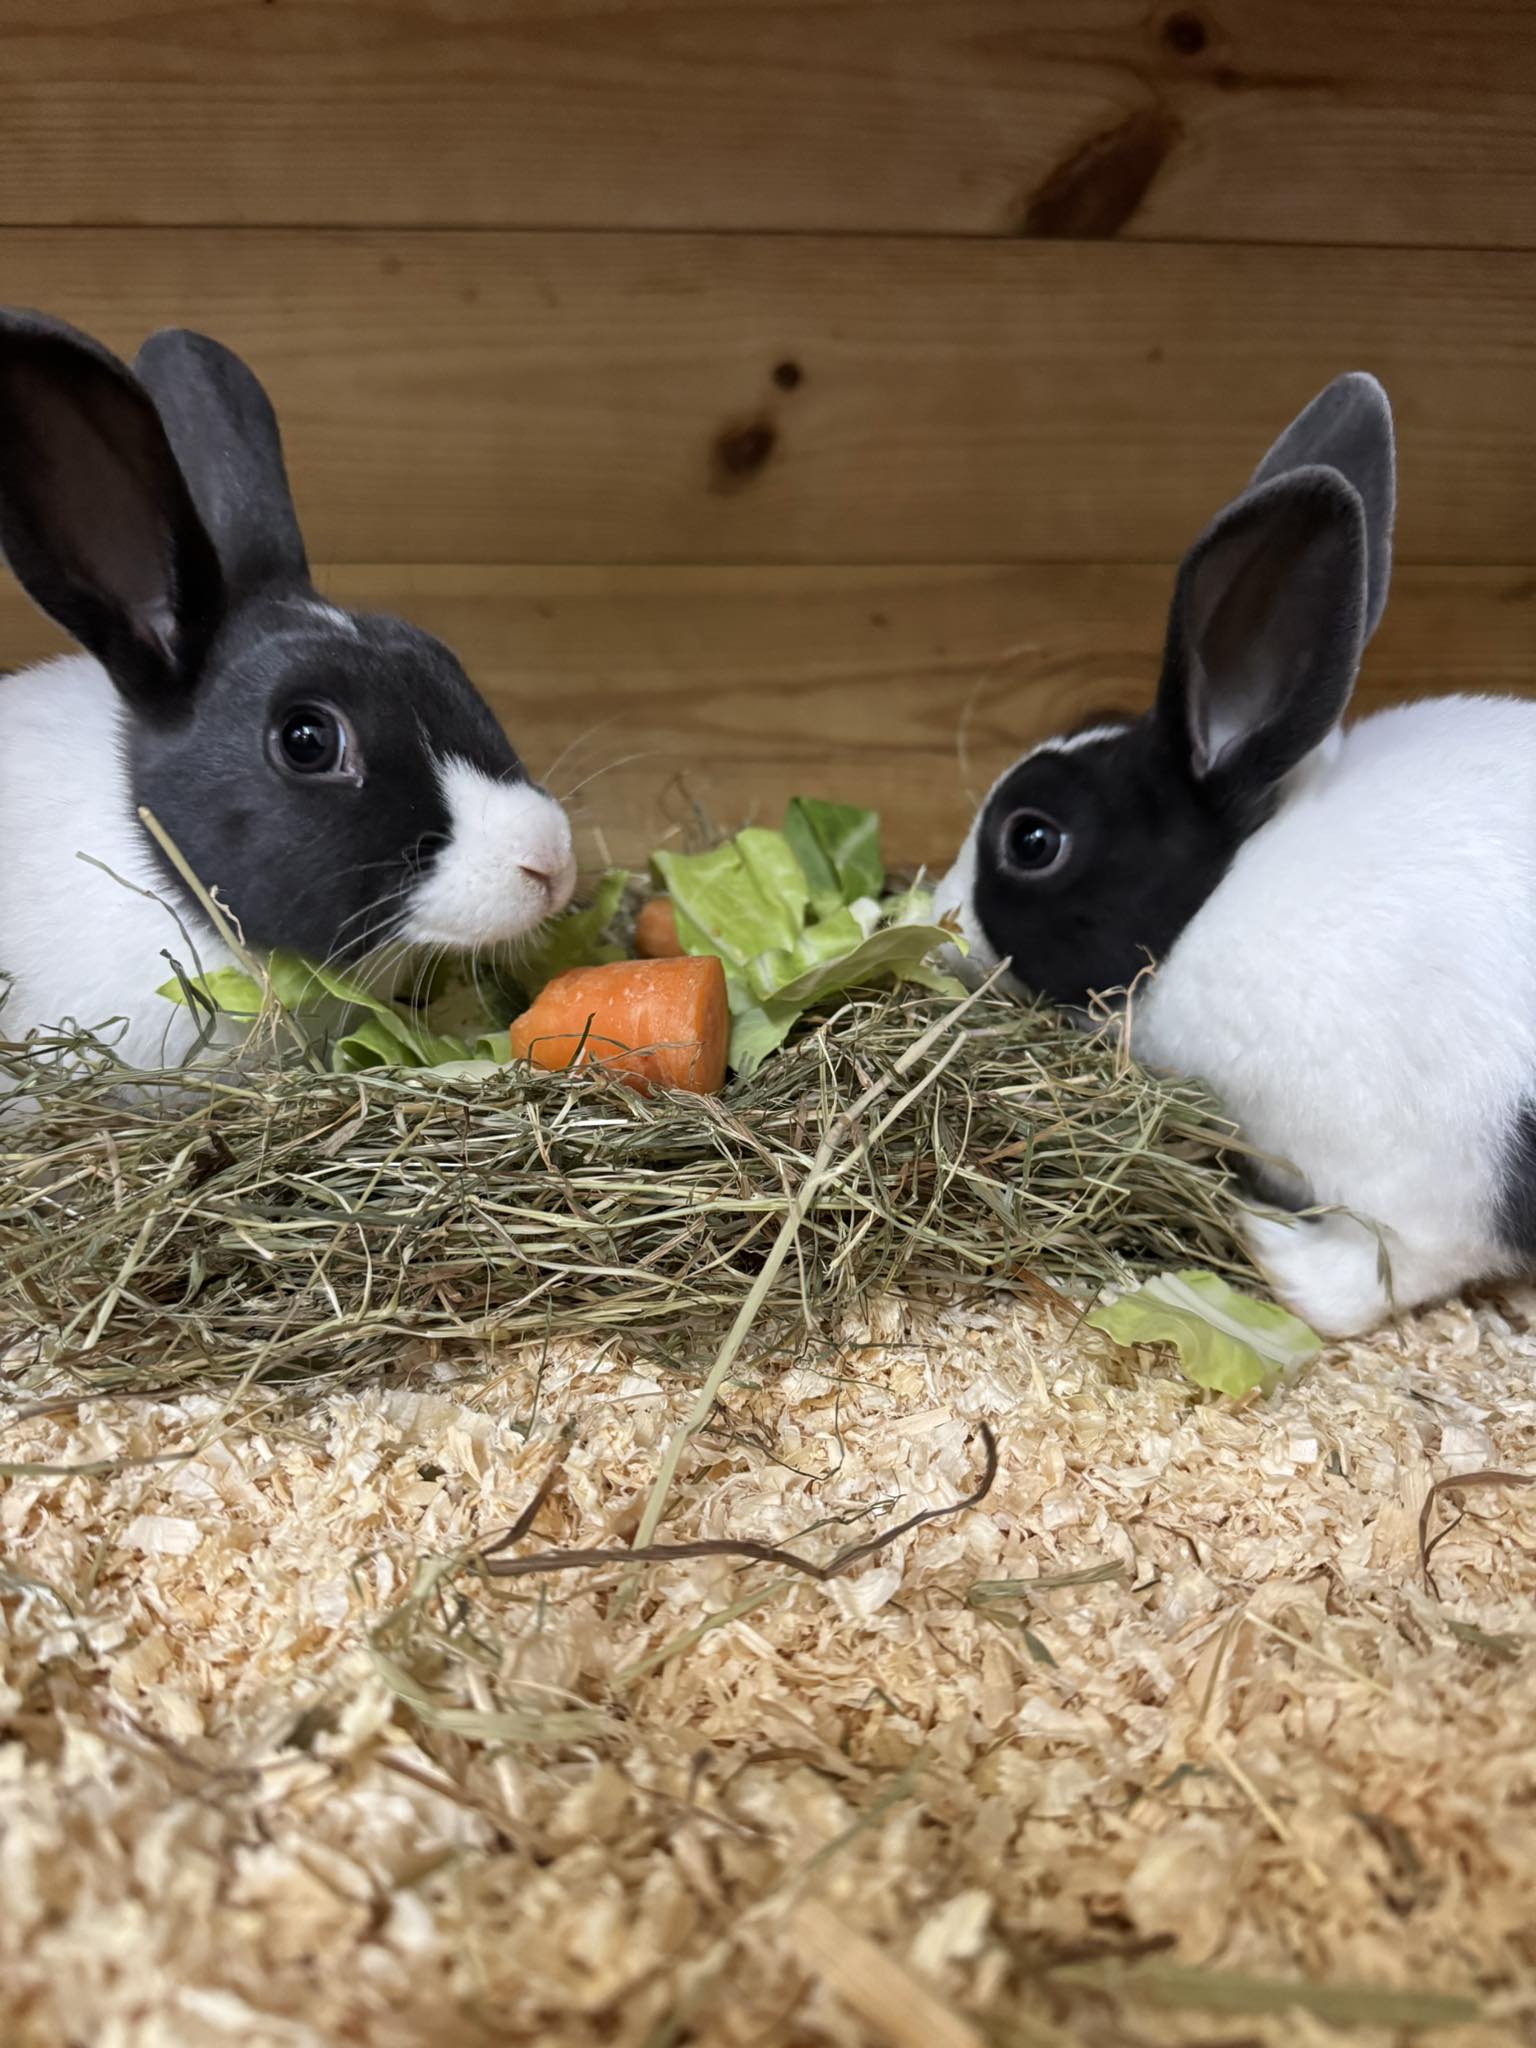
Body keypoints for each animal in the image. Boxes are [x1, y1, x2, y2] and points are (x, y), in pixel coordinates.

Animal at [934, 371, 1536, 1338]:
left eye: (1032, 840)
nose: (931, 918)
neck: (1217, 904)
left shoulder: (1429, 1180)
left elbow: (1364, 1282)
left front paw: (1248, 1225)